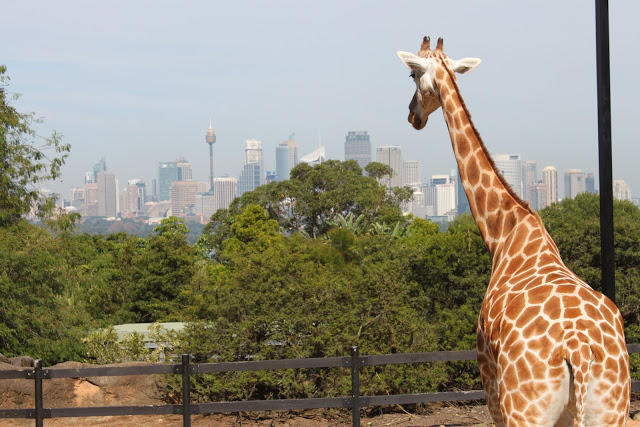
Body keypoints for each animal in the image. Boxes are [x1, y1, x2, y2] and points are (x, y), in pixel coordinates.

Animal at [396, 36, 632, 427]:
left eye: (412, 74)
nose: (413, 116)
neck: (504, 232)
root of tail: (579, 352)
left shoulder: (489, 379)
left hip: (524, 410)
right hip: (612, 409)